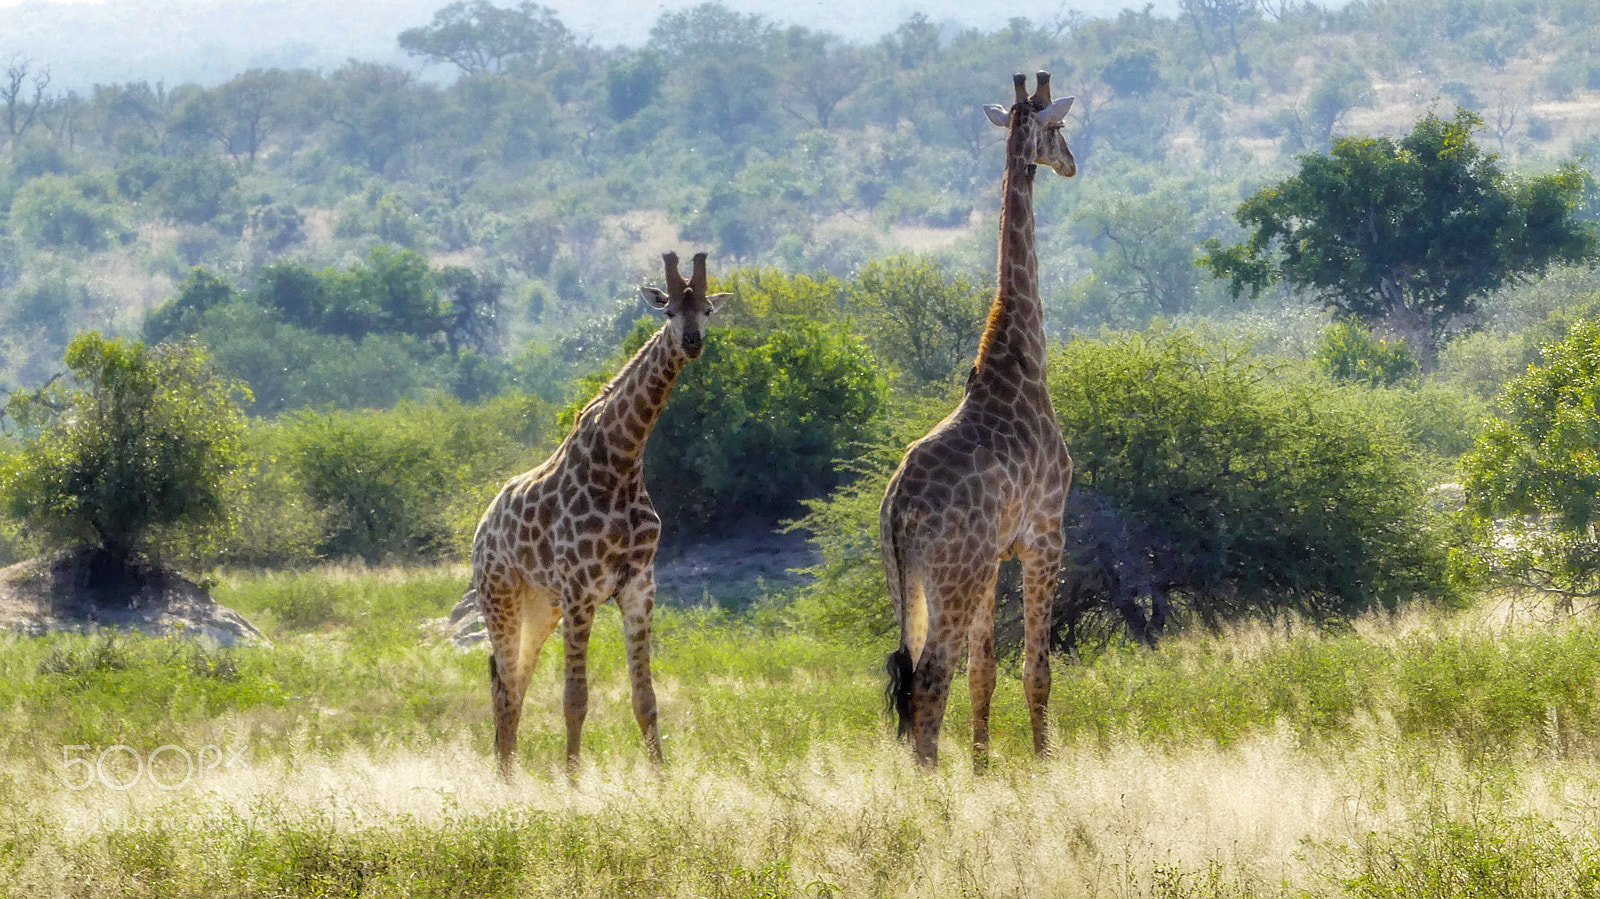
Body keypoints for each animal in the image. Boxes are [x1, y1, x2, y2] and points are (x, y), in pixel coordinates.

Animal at [470, 251, 729, 779]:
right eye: (667, 311)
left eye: (707, 311)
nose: (692, 343)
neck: (624, 462)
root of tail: (481, 529)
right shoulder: (581, 589)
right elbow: (575, 699)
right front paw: (573, 782)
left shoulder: (639, 588)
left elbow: (645, 699)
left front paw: (662, 779)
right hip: (501, 596)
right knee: (504, 686)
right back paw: (506, 781)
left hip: (540, 606)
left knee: (514, 683)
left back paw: (509, 774)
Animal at [881, 72, 1076, 770]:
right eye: (1057, 127)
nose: (1072, 164)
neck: (1018, 358)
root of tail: (898, 508)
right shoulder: (1045, 530)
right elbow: (1036, 668)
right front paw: (1045, 765)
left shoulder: (995, 556)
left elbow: (984, 671)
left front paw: (985, 765)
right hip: (955, 573)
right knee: (929, 676)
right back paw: (929, 783)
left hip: (911, 579)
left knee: (914, 673)